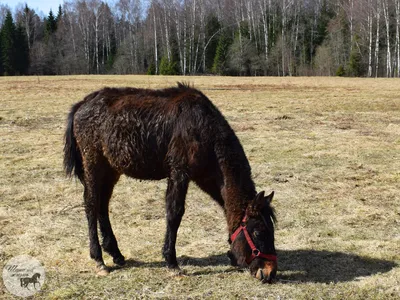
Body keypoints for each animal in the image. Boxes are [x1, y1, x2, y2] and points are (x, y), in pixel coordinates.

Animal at [64, 82, 278, 284]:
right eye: (258, 232)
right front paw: (172, 262)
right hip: (93, 165)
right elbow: (175, 214)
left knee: (102, 205)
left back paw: (116, 253)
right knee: (91, 205)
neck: (203, 129)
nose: (269, 273)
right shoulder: (179, 173)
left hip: (110, 170)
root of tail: (82, 104)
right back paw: (99, 259)